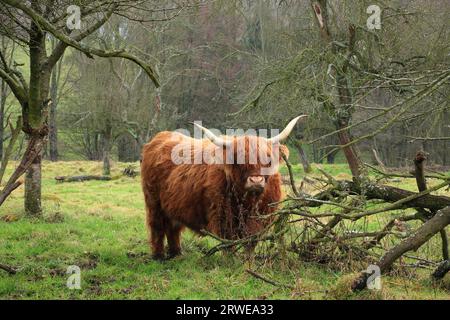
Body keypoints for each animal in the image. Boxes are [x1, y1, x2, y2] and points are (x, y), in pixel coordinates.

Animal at [141, 116, 306, 258]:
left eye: (268, 158)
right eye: (238, 159)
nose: (256, 180)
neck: (248, 202)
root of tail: (160, 137)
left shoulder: (260, 218)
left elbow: (250, 243)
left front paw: (248, 262)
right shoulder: (223, 216)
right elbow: (229, 243)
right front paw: (230, 262)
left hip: (173, 206)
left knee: (172, 228)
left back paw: (176, 254)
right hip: (154, 203)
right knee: (157, 227)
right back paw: (159, 256)